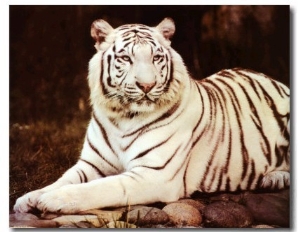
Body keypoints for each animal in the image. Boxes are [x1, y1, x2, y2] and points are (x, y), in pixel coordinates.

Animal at [12, 17, 290, 214]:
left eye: (156, 58)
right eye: (125, 58)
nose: (146, 85)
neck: (121, 117)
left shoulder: (154, 174)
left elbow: (101, 187)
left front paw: (53, 199)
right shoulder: (91, 164)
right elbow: (63, 179)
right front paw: (29, 198)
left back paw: (276, 177)